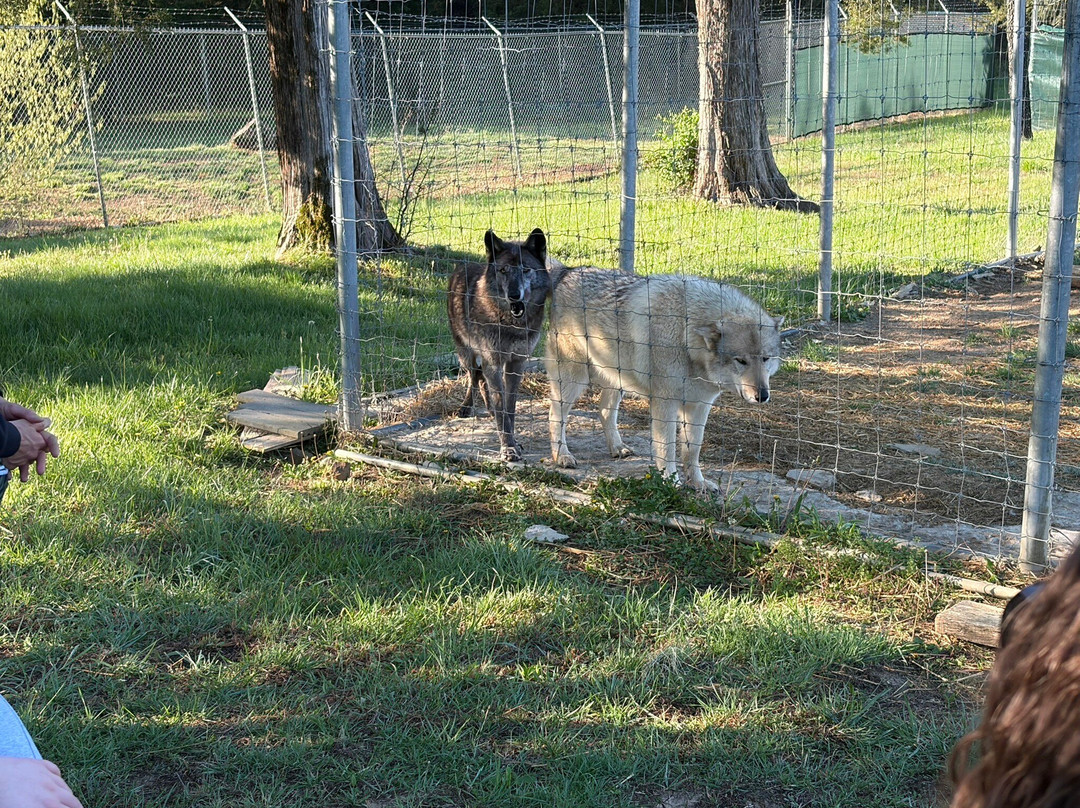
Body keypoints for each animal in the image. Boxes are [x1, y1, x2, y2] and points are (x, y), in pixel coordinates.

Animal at [447, 228, 551, 462]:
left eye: (526, 269)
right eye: (503, 270)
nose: (514, 295)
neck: (511, 324)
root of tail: (462, 266)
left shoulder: (516, 363)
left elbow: (509, 406)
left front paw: (513, 439)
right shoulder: (493, 362)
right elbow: (501, 404)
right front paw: (508, 448)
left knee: (483, 382)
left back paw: (490, 409)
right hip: (465, 353)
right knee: (473, 377)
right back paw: (466, 407)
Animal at [545, 269, 783, 491]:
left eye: (766, 358)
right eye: (740, 360)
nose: (762, 396)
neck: (686, 337)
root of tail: (568, 271)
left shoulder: (700, 406)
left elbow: (693, 449)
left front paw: (698, 483)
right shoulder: (666, 405)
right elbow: (667, 447)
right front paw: (671, 483)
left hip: (617, 380)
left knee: (604, 411)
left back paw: (617, 448)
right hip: (574, 381)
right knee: (555, 415)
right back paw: (562, 456)